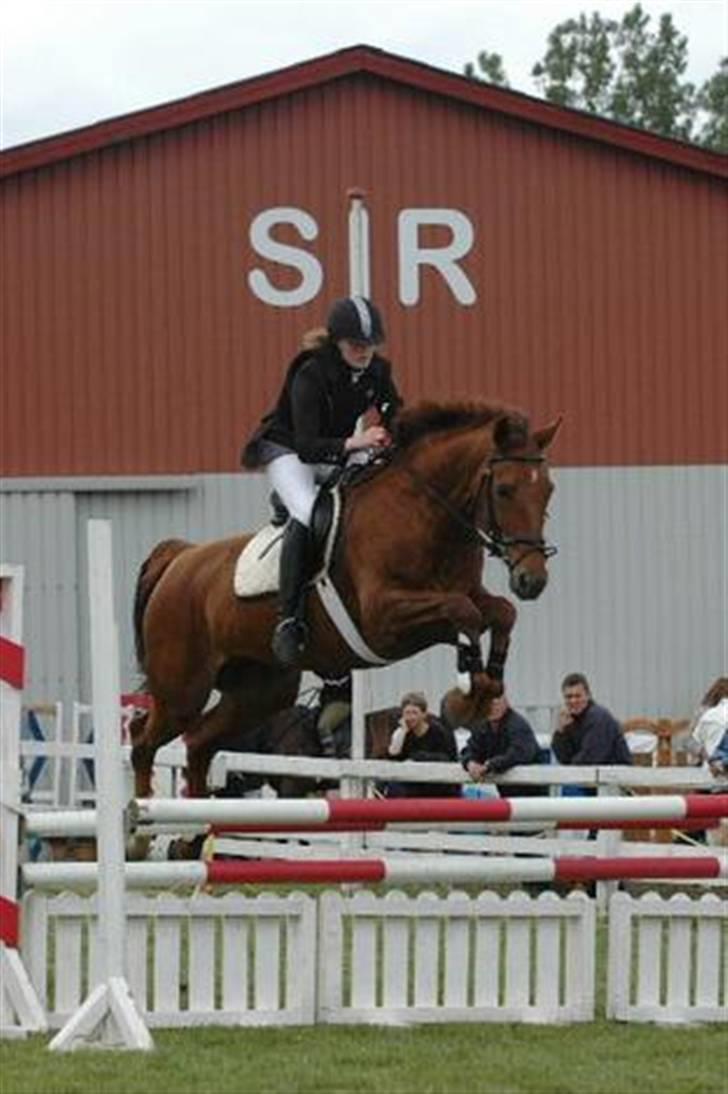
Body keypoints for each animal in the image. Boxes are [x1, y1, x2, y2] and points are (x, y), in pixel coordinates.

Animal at [127, 402, 558, 835]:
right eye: (504, 490)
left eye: (548, 491)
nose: (532, 580)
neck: (425, 515)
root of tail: (180, 559)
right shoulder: (384, 620)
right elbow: (462, 612)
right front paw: (469, 692)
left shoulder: (461, 596)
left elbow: (501, 612)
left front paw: (487, 686)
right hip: (183, 689)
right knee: (143, 739)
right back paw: (140, 827)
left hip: (261, 692)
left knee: (199, 743)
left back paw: (190, 836)